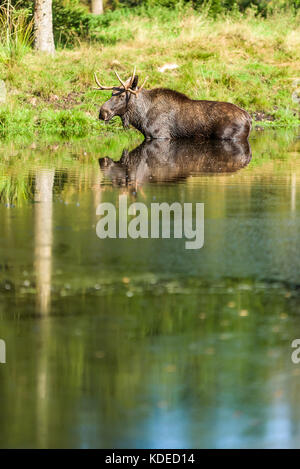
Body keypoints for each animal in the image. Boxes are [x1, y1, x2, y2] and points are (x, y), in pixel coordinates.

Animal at [95, 66, 252, 139]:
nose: (102, 112)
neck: (140, 118)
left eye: (122, 96)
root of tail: (249, 118)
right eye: (111, 93)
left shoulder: (161, 135)